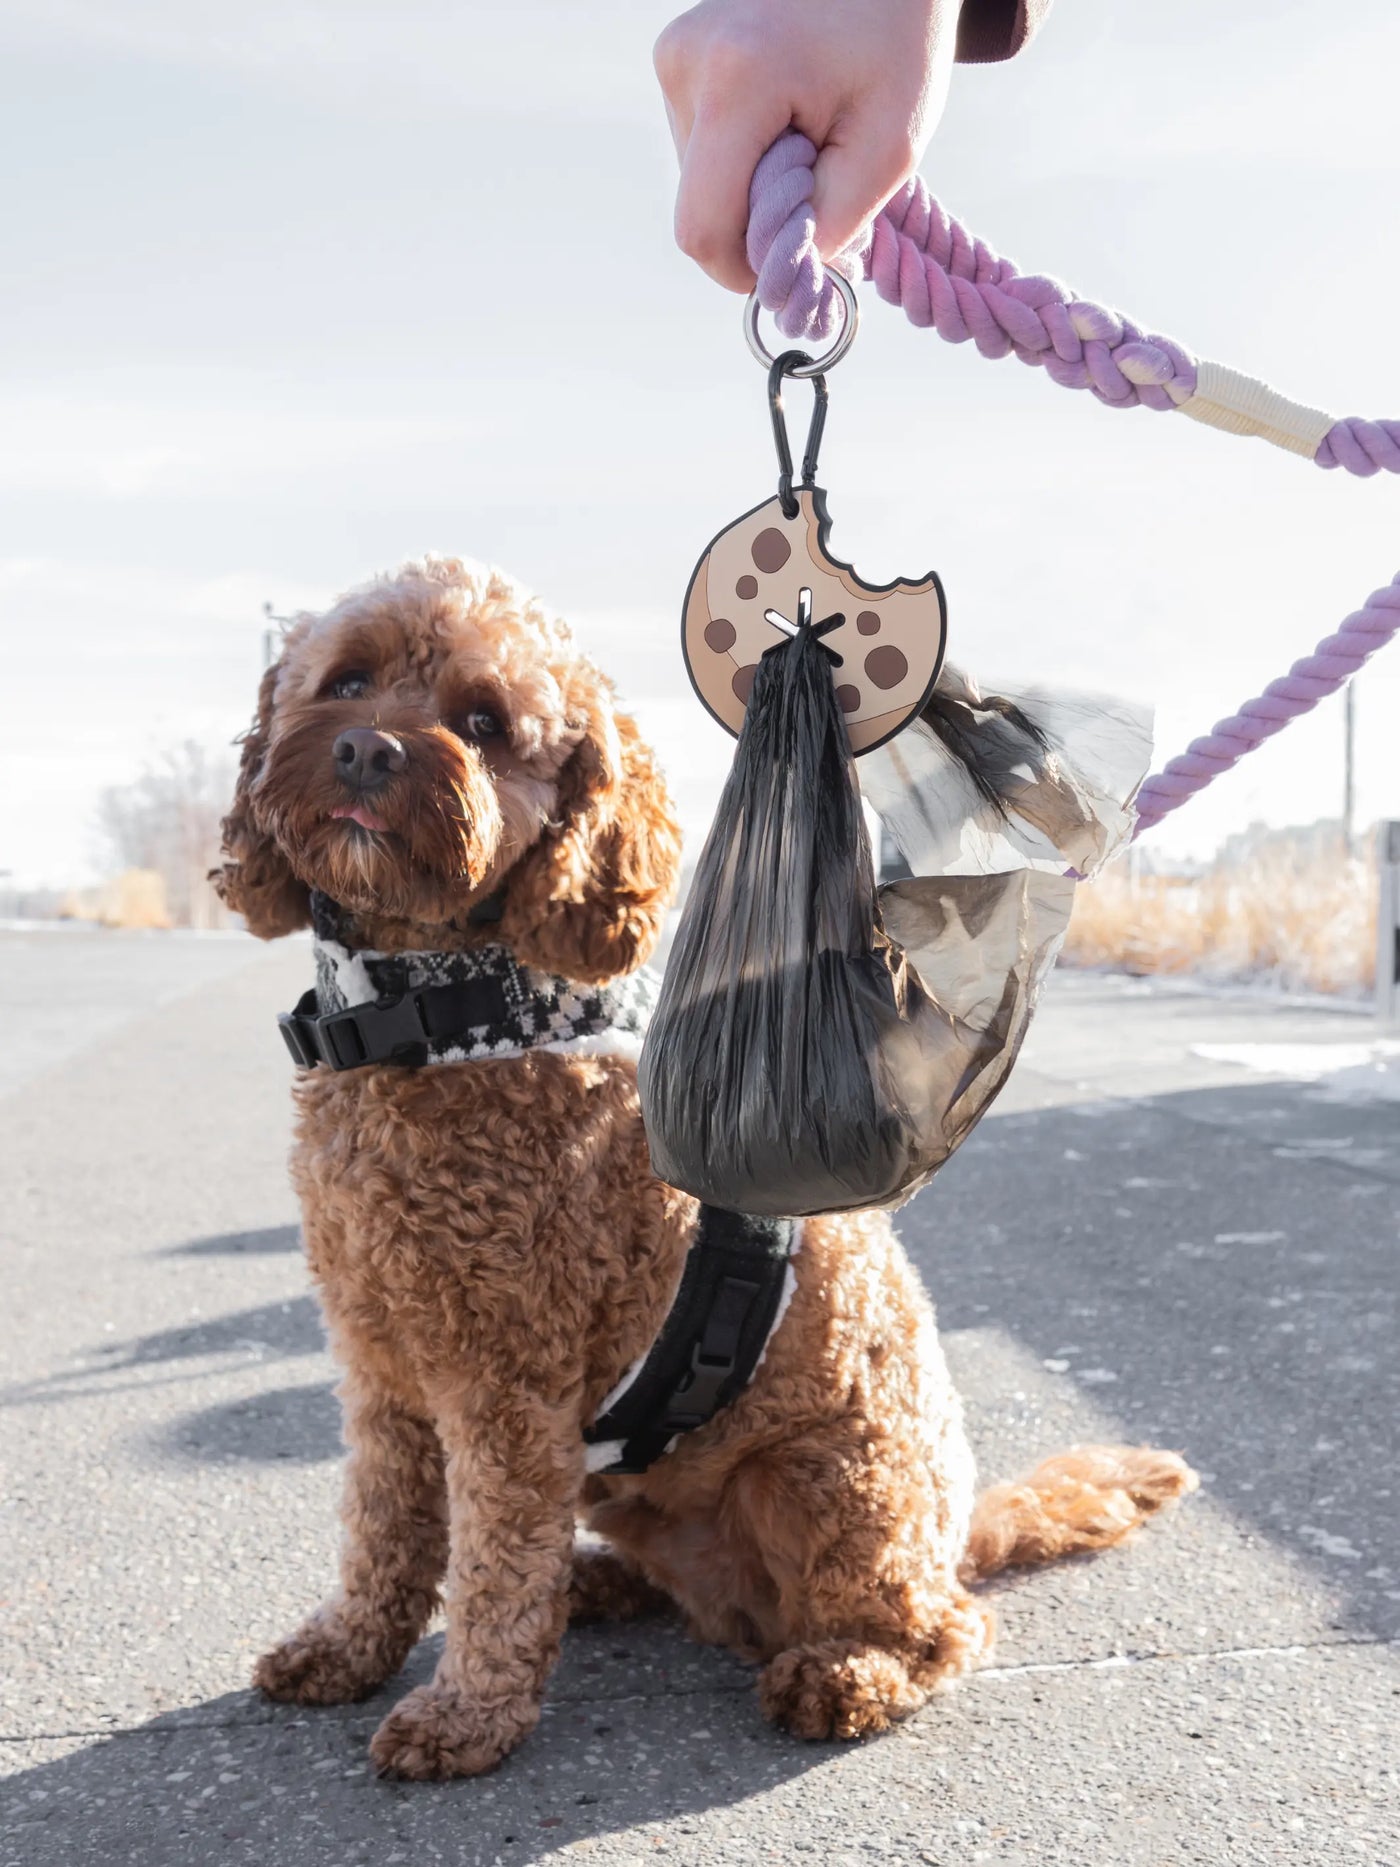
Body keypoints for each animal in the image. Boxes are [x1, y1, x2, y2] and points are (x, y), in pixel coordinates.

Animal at [213, 556, 1202, 1777]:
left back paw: (847, 1671)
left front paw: (467, 1714)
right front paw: (348, 1647)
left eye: (485, 723)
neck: (439, 1017)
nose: (364, 751)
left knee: (940, 1624)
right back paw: (599, 1585)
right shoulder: (379, 1364)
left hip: (828, 1479)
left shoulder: (505, 1385)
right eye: (344, 681)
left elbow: (492, 1561)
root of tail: (958, 1528)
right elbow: (384, 1528)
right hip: (632, 1486)